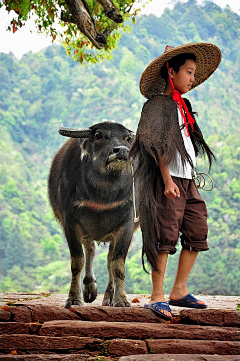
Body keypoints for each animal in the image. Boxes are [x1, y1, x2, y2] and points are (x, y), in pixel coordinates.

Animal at [48, 121, 139, 306]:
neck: (103, 196)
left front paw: (121, 300)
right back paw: (89, 288)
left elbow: (117, 265)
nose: (121, 151)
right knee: (90, 250)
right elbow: (77, 262)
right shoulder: (70, 224)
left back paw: (108, 297)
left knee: (109, 260)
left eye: (128, 138)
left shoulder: (126, 226)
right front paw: (73, 298)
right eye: (98, 136)